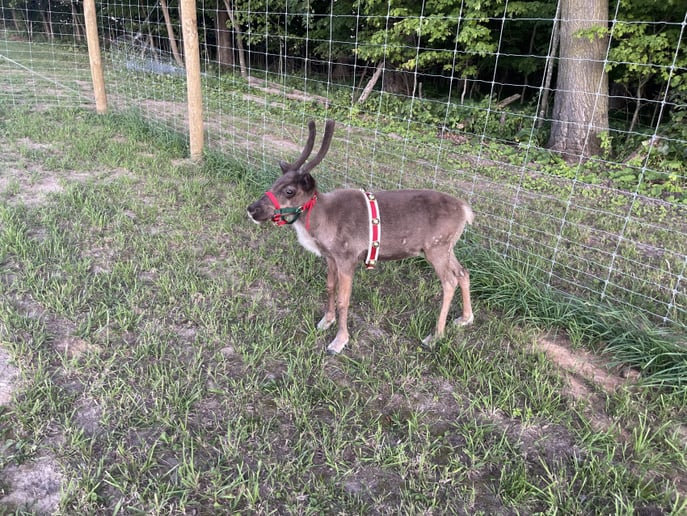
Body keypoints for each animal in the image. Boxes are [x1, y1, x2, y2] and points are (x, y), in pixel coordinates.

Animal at [247, 120, 474, 354]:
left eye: (290, 191)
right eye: (275, 182)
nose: (252, 209)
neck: (320, 221)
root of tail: (466, 210)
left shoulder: (347, 257)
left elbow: (343, 300)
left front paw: (339, 340)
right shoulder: (330, 257)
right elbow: (330, 287)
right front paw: (326, 321)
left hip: (436, 248)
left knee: (449, 282)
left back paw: (436, 335)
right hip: (447, 247)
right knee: (463, 272)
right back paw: (465, 318)